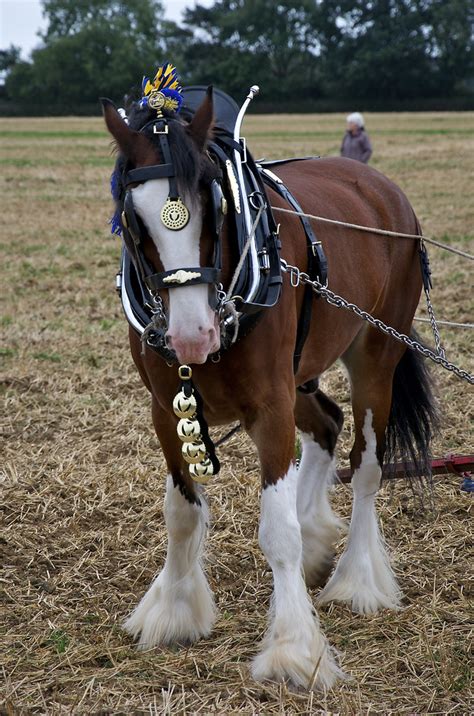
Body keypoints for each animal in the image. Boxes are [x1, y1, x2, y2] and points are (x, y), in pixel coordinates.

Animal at [102, 82, 438, 688]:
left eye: (214, 204)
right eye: (132, 219)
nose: (193, 335)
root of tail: (381, 187)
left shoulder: (270, 405)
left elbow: (278, 531)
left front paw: (292, 648)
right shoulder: (167, 410)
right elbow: (182, 514)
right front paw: (174, 612)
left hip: (375, 355)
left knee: (367, 464)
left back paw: (357, 579)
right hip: (300, 378)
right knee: (327, 425)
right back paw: (320, 544)